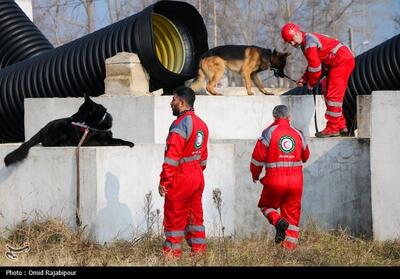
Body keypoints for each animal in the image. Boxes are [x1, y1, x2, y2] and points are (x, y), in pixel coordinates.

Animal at [4, 95, 134, 167]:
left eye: (81, 111)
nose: (70, 118)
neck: (98, 122)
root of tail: (42, 129)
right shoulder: (93, 142)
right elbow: (116, 140)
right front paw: (129, 143)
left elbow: (116, 138)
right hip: (59, 131)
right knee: (47, 144)